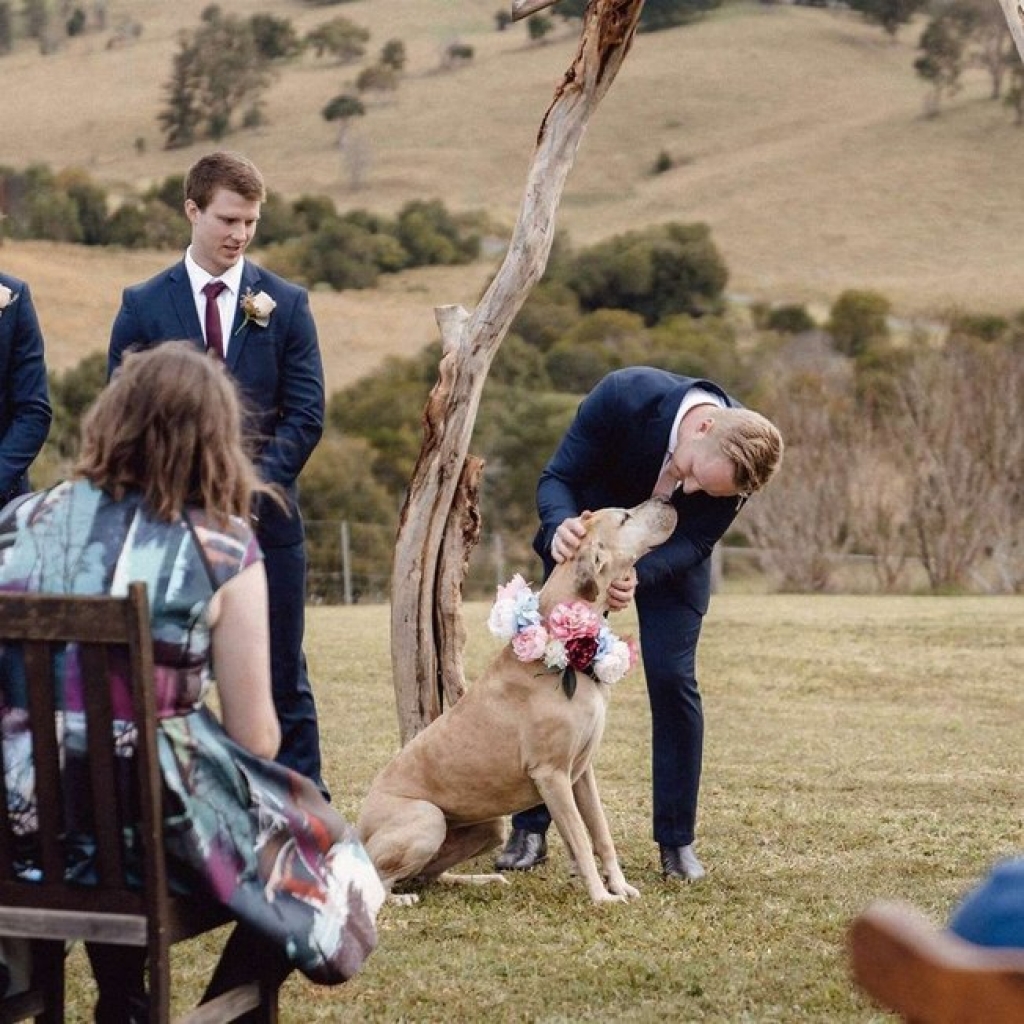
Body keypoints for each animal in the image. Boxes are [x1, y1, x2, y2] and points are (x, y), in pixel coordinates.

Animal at [360, 497, 679, 905]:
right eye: (624, 517)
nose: (667, 500)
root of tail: (358, 832)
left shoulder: (582, 773)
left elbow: (601, 833)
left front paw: (620, 885)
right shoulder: (552, 775)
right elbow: (579, 838)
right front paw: (601, 897)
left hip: (488, 826)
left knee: (428, 876)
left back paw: (478, 880)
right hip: (426, 818)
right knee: (382, 882)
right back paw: (400, 898)